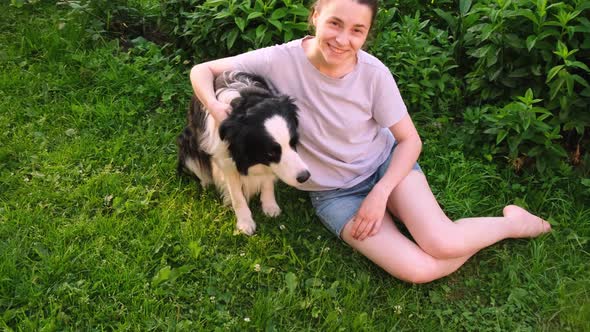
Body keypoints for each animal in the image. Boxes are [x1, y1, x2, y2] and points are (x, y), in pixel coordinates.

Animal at [178, 71, 312, 235]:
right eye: (271, 153)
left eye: (293, 142)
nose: (305, 177)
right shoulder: (226, 160)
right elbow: (237, 196)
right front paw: (245, 223)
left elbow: (267, 181)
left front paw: (269, 206)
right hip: (187, 143)